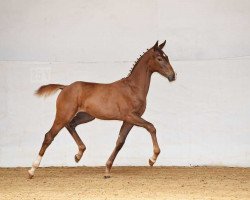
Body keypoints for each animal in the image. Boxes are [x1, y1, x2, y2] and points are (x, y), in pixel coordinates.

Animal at [27, 40, 176, 178]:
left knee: (71, 125)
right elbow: (151, 127)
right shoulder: (130, 116)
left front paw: (107, 169)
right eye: (159, 58)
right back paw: (32, 170)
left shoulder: (129, 120)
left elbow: (120, 142)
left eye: (167, 57)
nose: (173, 76)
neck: (132, 88)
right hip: (63, 115)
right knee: (49, 136)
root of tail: (65, 87)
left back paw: (78, 154)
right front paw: (152, 159)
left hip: (86, 116)